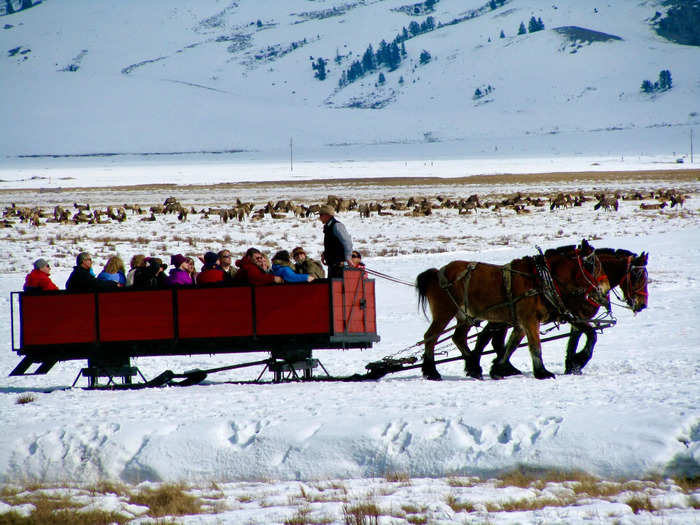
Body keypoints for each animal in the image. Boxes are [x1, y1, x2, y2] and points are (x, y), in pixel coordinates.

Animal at [416, 241, 608, 380]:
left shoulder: (523, 323)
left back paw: (473, 367)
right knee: (430, 338)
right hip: (444, 313)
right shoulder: (529, 320)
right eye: (594, 264)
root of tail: (436, 273)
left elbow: (511, 346)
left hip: (465, 316)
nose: (603, 290)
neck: (540, 279)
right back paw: (432, 372)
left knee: (459, 338)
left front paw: (499, 368)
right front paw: (542, 372)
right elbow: (535, 346)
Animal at [474, 249, 648, 376]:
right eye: (638, 275)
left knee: (492, 338)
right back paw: (479, 366)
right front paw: (578, 361)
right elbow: (591, 335)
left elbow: (574, 341)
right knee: (488, 338)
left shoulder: (576, 318)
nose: (643, 304)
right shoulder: (576, 316)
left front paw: (572, 365)